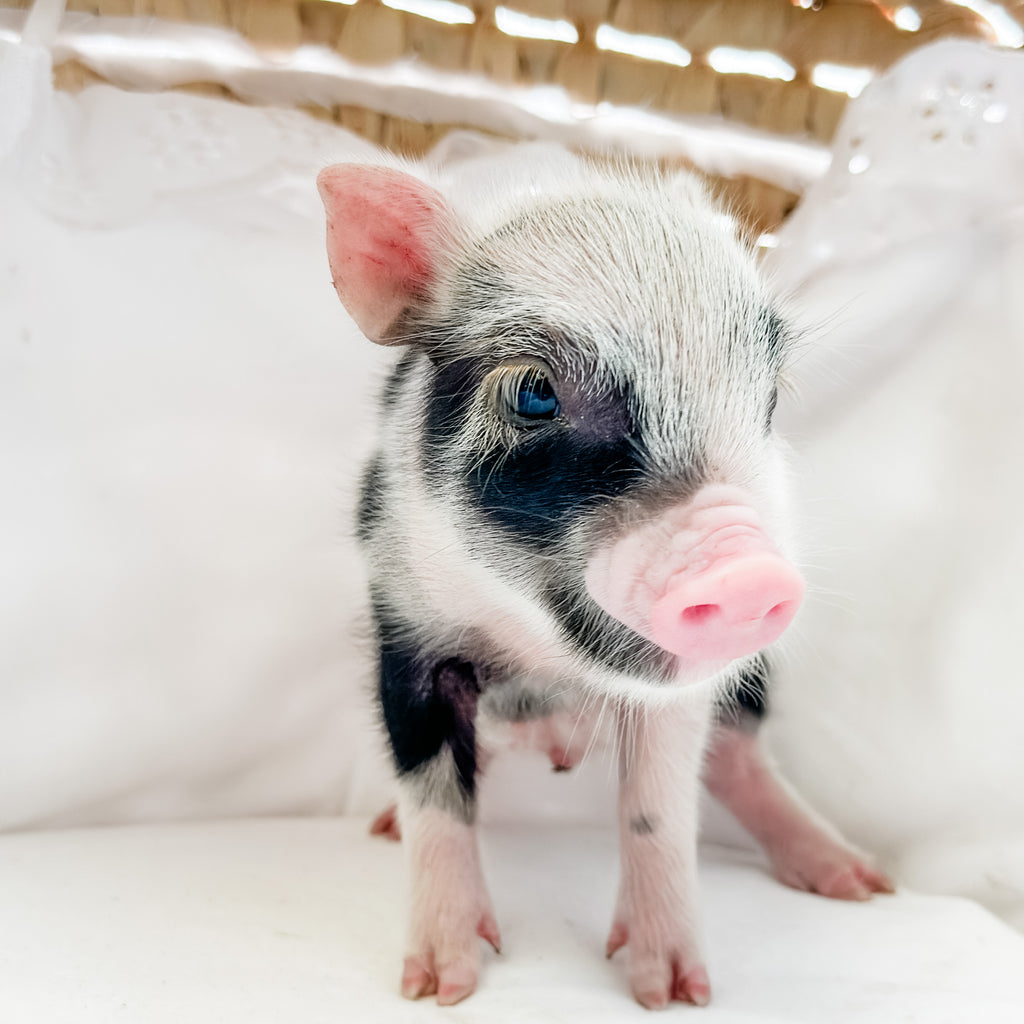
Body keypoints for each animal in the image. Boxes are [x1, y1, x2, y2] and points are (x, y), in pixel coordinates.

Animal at [316, 153, 891, 1009]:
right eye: (533, 393)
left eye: (769, 397)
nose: (749, 573)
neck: (542, 665)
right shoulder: (404, 623)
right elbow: (435, 794)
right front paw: (439, 988)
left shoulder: (682, 692)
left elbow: (658, 807)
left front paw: (673, 995)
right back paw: (383, 826)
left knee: (739, 757)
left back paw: (861, 883)